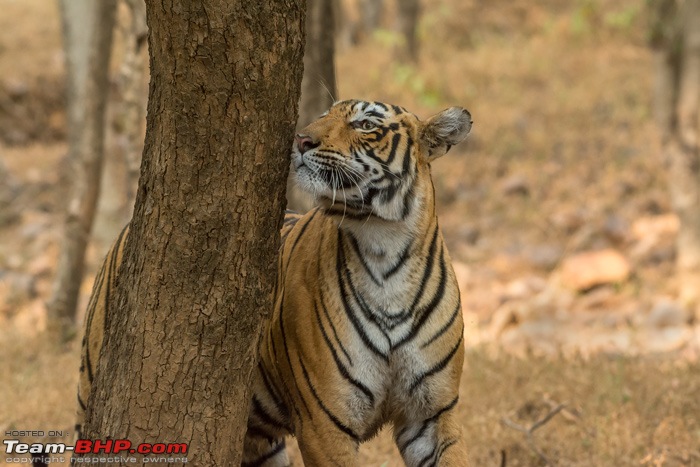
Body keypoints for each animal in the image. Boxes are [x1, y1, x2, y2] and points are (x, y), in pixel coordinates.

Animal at [75, 99, 470, 467]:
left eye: (366, 125)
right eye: (325, 114)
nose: (302, 139)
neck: (385, 250)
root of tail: (130, 225)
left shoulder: (432, 414)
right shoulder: (326, 424)